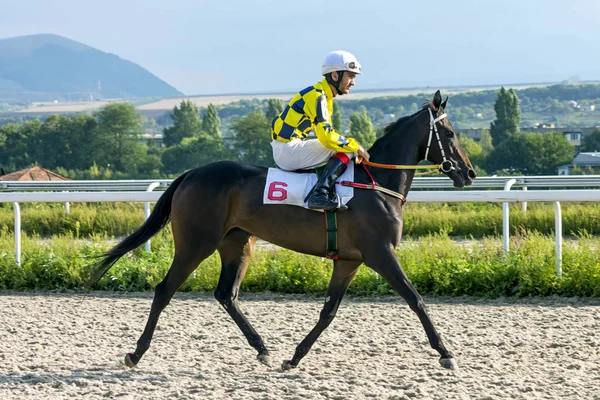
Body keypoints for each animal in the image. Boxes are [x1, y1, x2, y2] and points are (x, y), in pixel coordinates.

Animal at [89, 89, 476, 370]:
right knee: (164, 290)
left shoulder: (349, 261)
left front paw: (294, 357)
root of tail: (191, 174)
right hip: (195, 243)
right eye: (450, 133)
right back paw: (136, 353)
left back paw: (262, 348)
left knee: (226, 294)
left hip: (237, 243)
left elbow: (328, 311)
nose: (469, 174)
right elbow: (415, 299)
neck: (376, 184)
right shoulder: (380, 253)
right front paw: (446, 353)